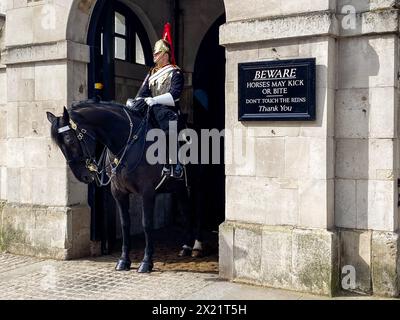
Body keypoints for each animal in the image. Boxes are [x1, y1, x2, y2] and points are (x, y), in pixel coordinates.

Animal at [46, 100, 193, 272]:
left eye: (69, 139)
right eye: (58, 145)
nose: (83, 176)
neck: (126, 144)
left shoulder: (147, 192)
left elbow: (146, 224)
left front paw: (146, 262)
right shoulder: (119, 193)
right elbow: (124, 224)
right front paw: (123, 260)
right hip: (179, 189)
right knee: (187, 212)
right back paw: (187, 247)